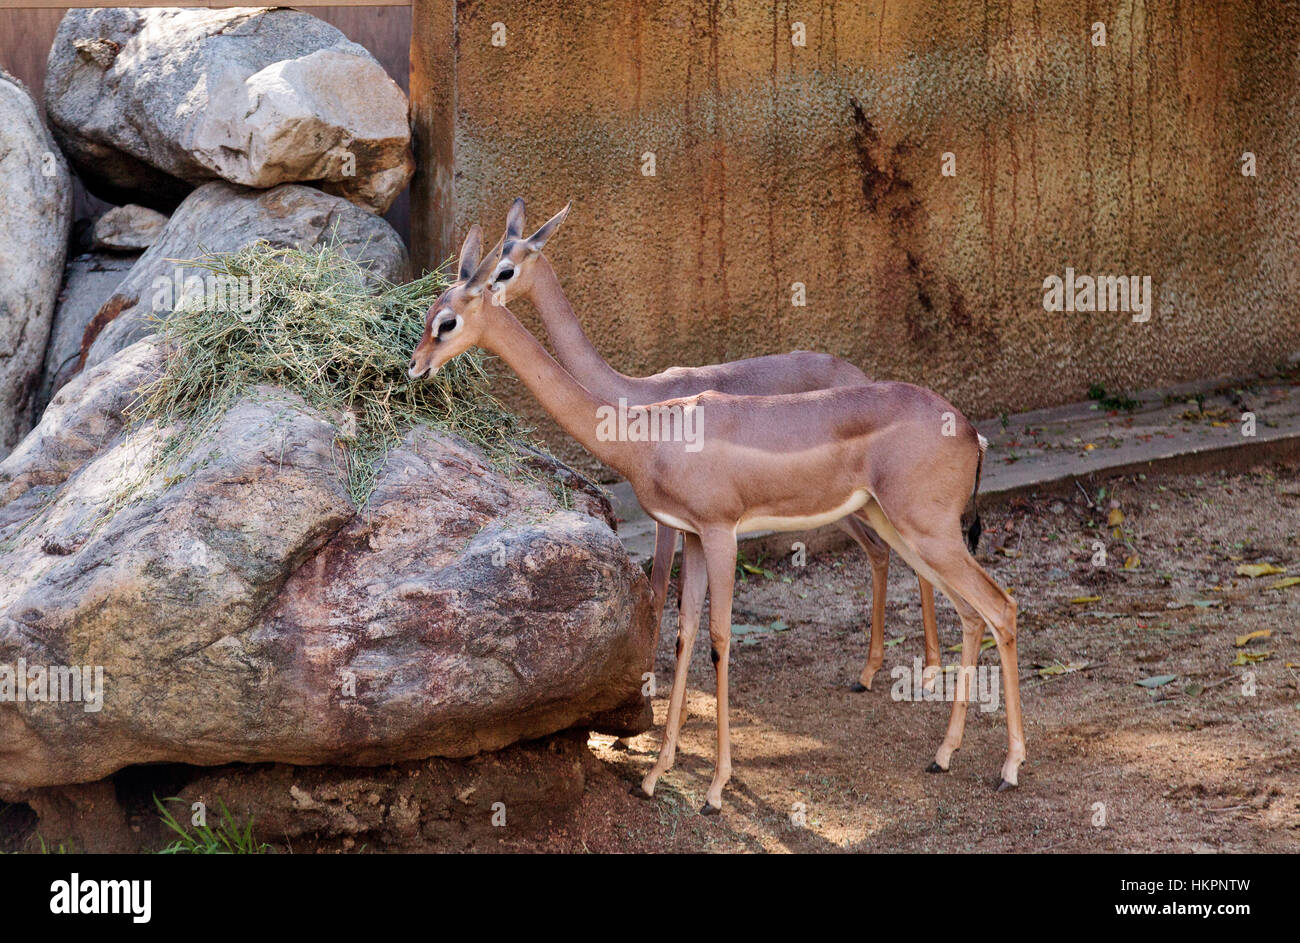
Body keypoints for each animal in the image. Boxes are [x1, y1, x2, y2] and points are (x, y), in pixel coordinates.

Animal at [488, 199, 946, 686]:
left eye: (505, 268)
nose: (469, 290)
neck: (636, 397)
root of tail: (860, 375)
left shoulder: (673, 521)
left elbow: (659, 588)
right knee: (882, 551)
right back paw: (869, 672)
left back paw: (926, 671)